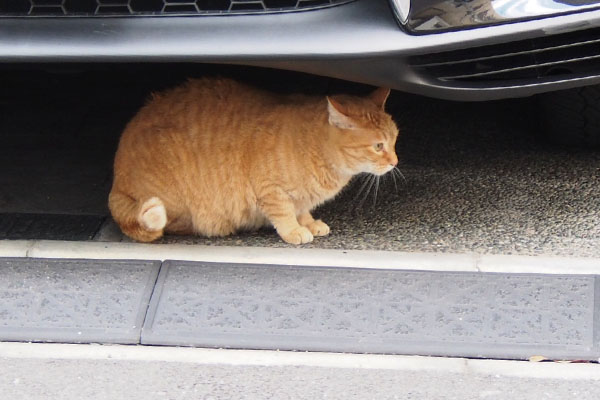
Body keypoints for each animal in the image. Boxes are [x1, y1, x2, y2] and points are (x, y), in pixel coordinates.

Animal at [109, 76, 398, 242]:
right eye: (378, 146)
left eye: (395, 138)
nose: (395, 161)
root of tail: (116, 184)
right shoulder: (270, 190)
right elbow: (284, 213)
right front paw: (294, 231)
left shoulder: (300, 198)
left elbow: (301, 210)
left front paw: (309, 223)